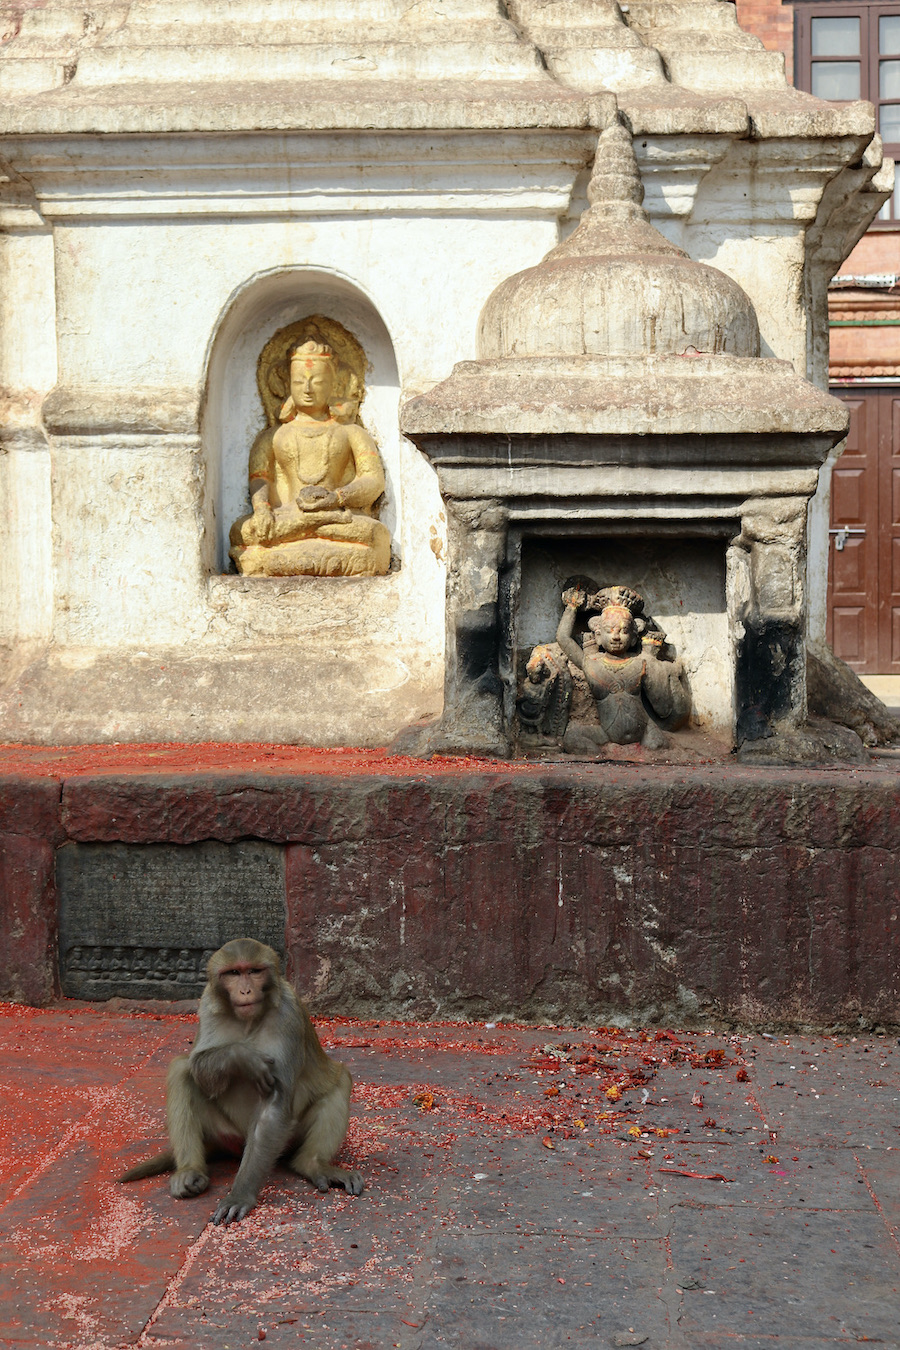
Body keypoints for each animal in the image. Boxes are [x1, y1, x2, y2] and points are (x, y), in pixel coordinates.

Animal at [119, 938, 363, 1224]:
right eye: (234, 973)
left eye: (254, 971)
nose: (245, 990)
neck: (248, 1021)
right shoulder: (207, 1003)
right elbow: (198, 1066)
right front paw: (242, 1057)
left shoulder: (288, 1014)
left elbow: (273, 1107)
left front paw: (240, 1195)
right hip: (224, 1132)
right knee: (181, 1070)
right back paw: (190, 1170)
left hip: (287, 1139)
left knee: (341, 1081)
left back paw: (312, 1164)